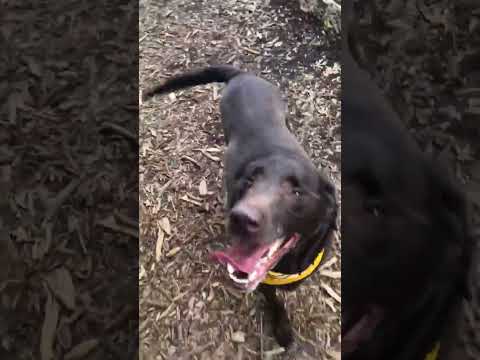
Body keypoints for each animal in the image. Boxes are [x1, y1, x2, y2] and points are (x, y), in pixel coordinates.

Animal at [142, 65, 338, 348]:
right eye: (249, 181)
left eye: (297, 191)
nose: (241, 218)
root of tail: (241, 74)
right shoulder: (262, 281)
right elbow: (273, 298)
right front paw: (282, 328)